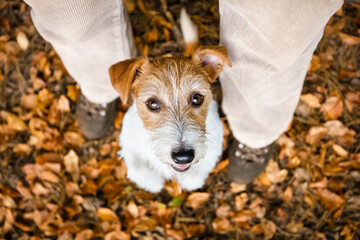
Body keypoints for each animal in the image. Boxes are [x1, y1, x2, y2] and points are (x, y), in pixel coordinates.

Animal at [107, 9, 231, 193]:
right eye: (152, 103)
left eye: (197, 98)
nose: (183, 157)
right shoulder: (128, 145)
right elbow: (137, 169)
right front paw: (153, 183)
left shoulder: (213, 147)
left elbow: (198, 172)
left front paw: (190, 180)